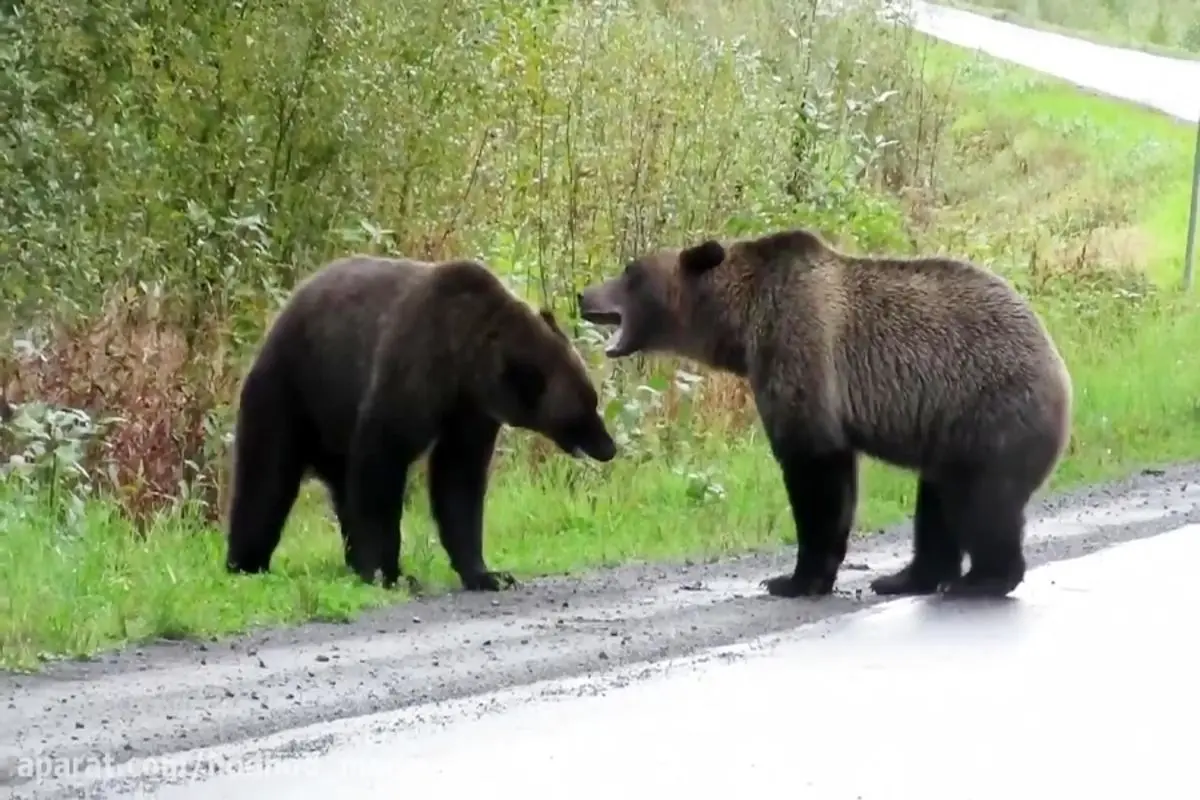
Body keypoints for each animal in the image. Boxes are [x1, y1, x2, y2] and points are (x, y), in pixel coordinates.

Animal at [225, 253, 619, 592]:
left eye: (593, 400)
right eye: (582, 410)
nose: (608, 447)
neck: (464, 362)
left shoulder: (470, 413)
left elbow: (458, 482)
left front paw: (487, 573)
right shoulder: (414, 371)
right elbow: (382, 464)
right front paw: (388, 572)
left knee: (340, 488)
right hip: (292, 392)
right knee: (266, 477)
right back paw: (246, 562)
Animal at [576, 227, 1075, 597]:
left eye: (630, 272)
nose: (583, 295)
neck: (741, 325)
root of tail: (1059, 368)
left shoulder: (798, 351)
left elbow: (815, 473)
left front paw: (793, 579)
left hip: (987, 413)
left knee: (981, 502)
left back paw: (983, 580)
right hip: (948, 433)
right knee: (937, 502)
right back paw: (906, 577)